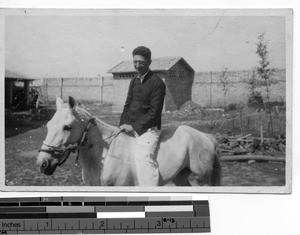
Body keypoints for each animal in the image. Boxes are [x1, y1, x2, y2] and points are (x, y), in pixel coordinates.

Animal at [37, 96, 220, 186]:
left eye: (67, 127)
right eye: (48, 125)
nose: (43, 163)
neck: (105, 152)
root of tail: (205, 136)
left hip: (202, 179)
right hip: (181, 177)